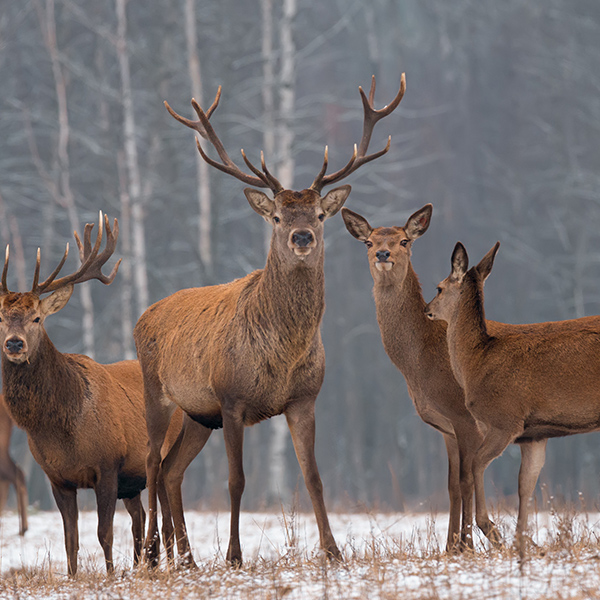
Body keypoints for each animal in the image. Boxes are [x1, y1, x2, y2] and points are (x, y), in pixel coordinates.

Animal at [0, 213, 180, 576]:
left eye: (36, 317)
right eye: (0, 318)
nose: (14, 343)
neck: (60, 429)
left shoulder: (107, 464)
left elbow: (104, 532)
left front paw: (110, 576)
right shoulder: (57, 478)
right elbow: (71, 539)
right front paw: (72, 577)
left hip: (162, 456)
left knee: (164, 517)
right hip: (133, 480)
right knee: (140, 516)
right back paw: (142, 565)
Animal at [135, 75, 408, 568]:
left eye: (319, 214)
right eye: (278, 216)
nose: (302, 236)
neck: (281, 356)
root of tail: (144, 315)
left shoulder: (303, 399)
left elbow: (314, 477)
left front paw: (333, 551)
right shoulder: (231, 399)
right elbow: (236, 481)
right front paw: (234, 555)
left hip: (196, 414)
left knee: (170, 471)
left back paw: (185, 558)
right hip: (158, 391)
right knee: (150, 462)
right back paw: (149, 555)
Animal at [340, 204, 552, 552]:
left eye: (404, 240)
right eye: (368, 242)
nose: (383, 253)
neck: (421, 362)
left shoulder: (466, 419)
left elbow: (466, 480)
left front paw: (465, 545)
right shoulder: (447, 427)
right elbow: (452, 484)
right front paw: (450, 547)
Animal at [422, 240, 600, 556]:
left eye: (439, 288)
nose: (427, 310)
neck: (476, 362)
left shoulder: (504, 419)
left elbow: (476, 465)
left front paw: (492, 530)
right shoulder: (534, 434)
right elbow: (525, 484)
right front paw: (523, 541)